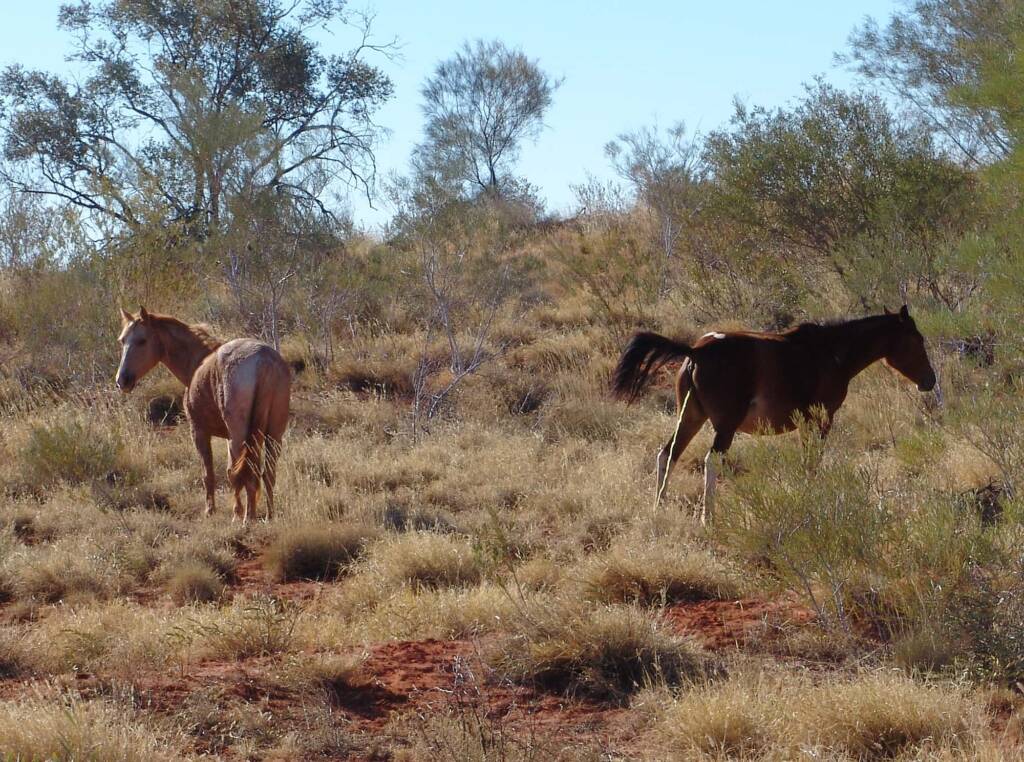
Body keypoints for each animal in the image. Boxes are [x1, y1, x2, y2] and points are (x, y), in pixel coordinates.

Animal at [115, 308, 291, 523]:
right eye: (122, 340)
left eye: (142, 341)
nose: (122, 380)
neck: (197, 361)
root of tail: (263, 360)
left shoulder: (199, 432)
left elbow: (209, 473)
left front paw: (212, 511)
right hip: (274, 435)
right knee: (267, 473)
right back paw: (268, 515)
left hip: (240, 436)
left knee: (245, 473)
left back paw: (245, 517)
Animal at [611, 305, 936, 524]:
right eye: (917, 340)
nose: (929, 380)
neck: (830, 352)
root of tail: (696, 351)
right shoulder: (821, 421)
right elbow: (812, 462)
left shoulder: (807, 424)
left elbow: (807, 462)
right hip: (724, 426)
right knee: (710, 460)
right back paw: (708, 519)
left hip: (690, 418)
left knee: (668, 454)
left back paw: (659, 507)